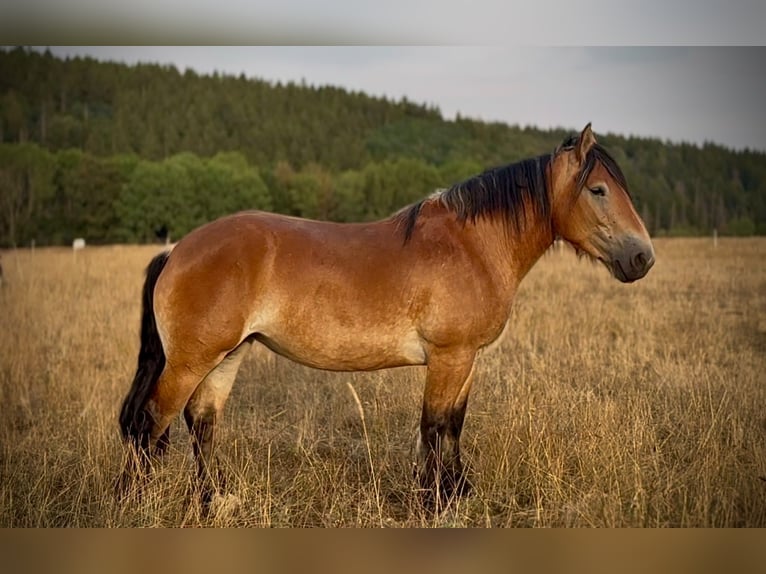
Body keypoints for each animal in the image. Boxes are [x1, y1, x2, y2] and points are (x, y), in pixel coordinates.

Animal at [118, 124, 655, 508]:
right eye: (599, 190)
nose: (642, 258)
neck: (473, 246)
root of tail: (177, 249)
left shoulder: (467, 359)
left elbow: (454, 424)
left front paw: (457, 492)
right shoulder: (449, 357)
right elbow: (434, 426)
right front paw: (433, 501)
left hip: (227, 355)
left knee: (202, 422)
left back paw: (215, 499)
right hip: (190, 361)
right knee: (151, 422)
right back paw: (136, 502)